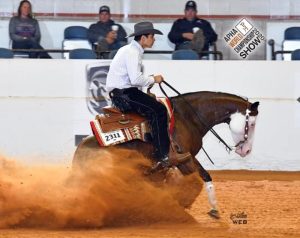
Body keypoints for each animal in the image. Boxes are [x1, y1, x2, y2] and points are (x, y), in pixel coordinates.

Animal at [72, 91, 258, 219]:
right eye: (252, 124)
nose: (247, 151)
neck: (187, 117)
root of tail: (80, 149)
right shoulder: (183, 158)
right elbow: (195, 181)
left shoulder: (188, 156)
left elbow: (205, 176)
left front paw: (214, 210)